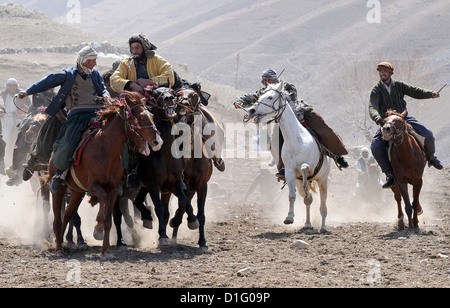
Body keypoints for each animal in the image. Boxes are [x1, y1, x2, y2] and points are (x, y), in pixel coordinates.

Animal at [49, 91, 162, 255]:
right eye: (140, 117)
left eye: (152, 116)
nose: (158, 141)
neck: (106, 149)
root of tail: (52, 156)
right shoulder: (94, 186)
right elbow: (102, 199)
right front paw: (98, 229)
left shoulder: (114, 189)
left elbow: (109, 220)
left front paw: (106, 249)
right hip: (59, 190)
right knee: (57, 218)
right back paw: (58, 248)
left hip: (77, 192)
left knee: (68, 215)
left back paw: (62, 243)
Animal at [246, 82, 330, 231]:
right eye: (260, 96)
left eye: (270, 97)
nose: (251, 110)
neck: (296, 141)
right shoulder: (290, 173)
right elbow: (292, 195)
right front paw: (289, 217)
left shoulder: (311, 166)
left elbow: (304, 167)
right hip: (300, 182)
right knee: (308, 200)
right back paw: (307, 223)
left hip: (323, 179)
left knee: (323, 204)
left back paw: (323, 227)